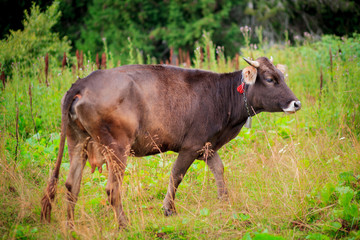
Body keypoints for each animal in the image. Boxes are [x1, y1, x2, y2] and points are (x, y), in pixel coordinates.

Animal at [41, 57, 300, 228]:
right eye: (270, 79)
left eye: (282, 76)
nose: (296, 103)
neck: (221, 97)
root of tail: (83, 82)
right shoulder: (191, 145)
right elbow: (177, 175)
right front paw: (168, 209)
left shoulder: (207, 145)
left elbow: (219, 169)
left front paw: (224, 200)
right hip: (116, 147)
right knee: (112, 188)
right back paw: (124, 225)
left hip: (78, 141)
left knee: (71, 185)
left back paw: (71, 226)